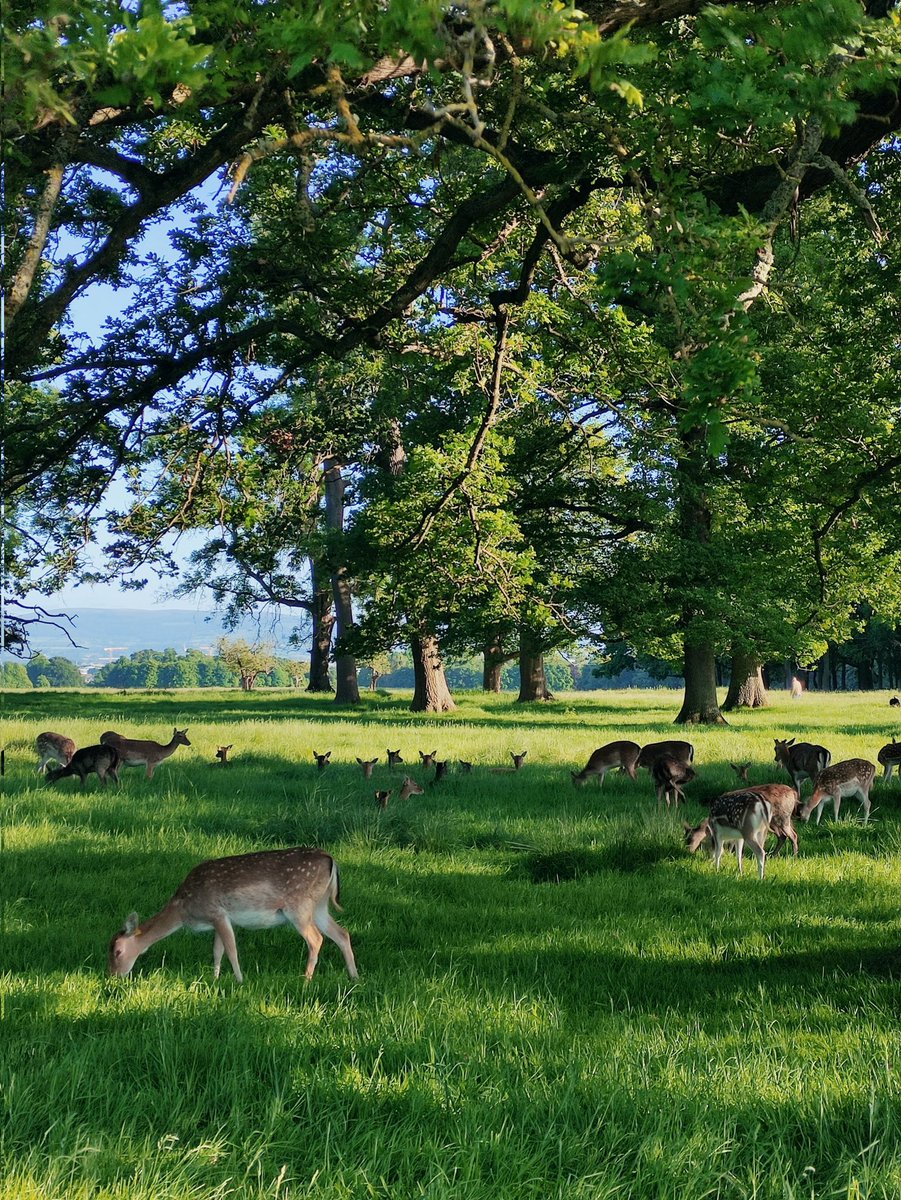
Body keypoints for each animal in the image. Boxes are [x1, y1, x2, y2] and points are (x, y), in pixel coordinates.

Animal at [105, 844, 355, 984]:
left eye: (117, 951)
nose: (112, 976)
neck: (184, 909)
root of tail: (331, 859)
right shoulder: (218, 921)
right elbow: (217, 951)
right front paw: (214, 979)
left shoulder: (217, 913)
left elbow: (232, 950)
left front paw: (240, 981)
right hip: (319, 905)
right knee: (342, 933)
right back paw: (355, 977)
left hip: (299, 906)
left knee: (316, 938)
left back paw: (306, 980)